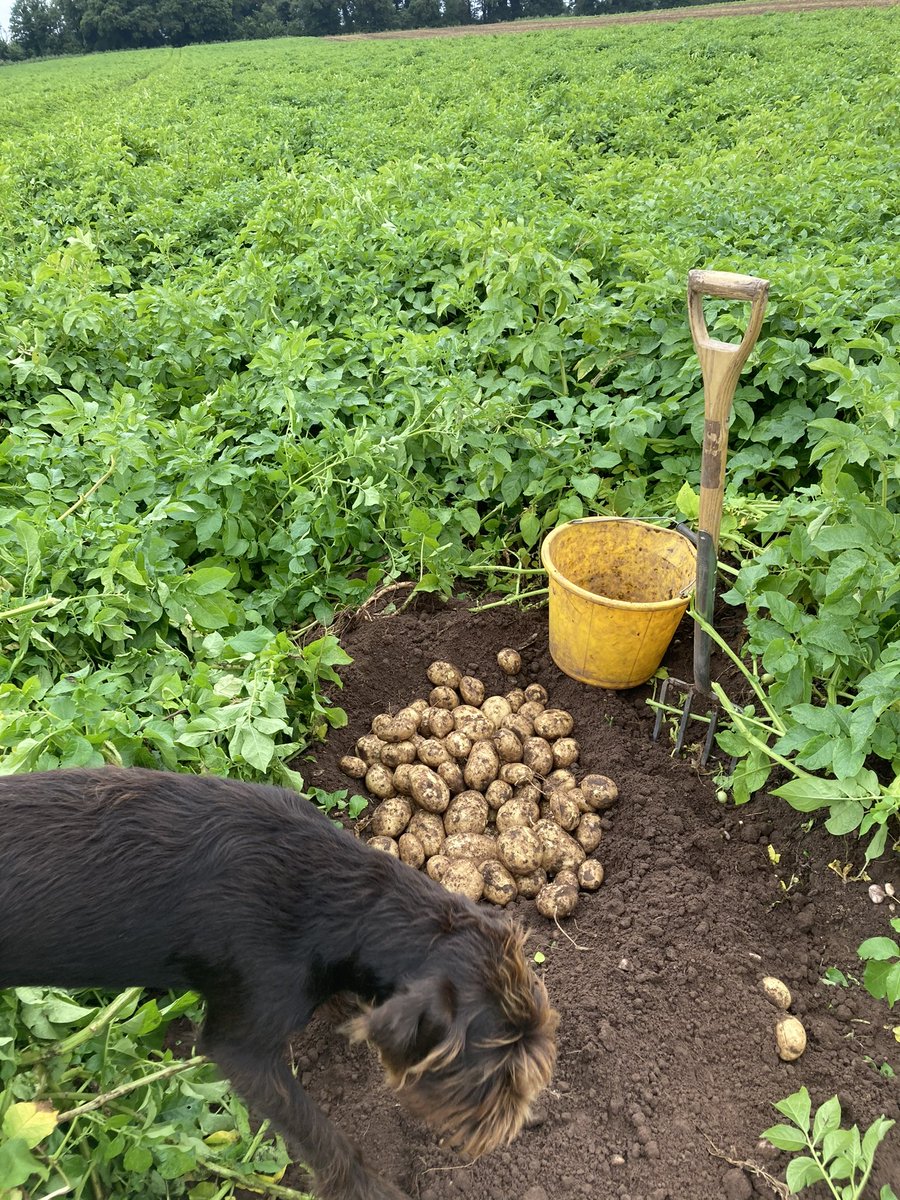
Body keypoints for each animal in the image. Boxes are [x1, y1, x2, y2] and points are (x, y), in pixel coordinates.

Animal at [0, 768, 561, 1200]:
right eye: (495, 1076)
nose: (528, 1122)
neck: (347, 896)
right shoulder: (242, 1046)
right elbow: (317, 1133)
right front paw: (366, 1188)